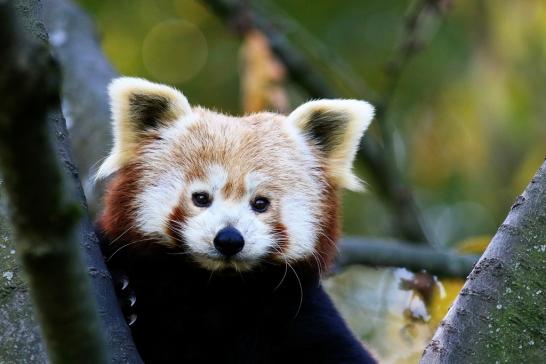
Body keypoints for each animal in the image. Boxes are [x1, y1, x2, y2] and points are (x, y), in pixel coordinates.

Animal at [96, 77, 374, 364]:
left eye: (260, 203)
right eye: (201, 197)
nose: (229, 239)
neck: (218, 288)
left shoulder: (301, 310)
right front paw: (123, 291)